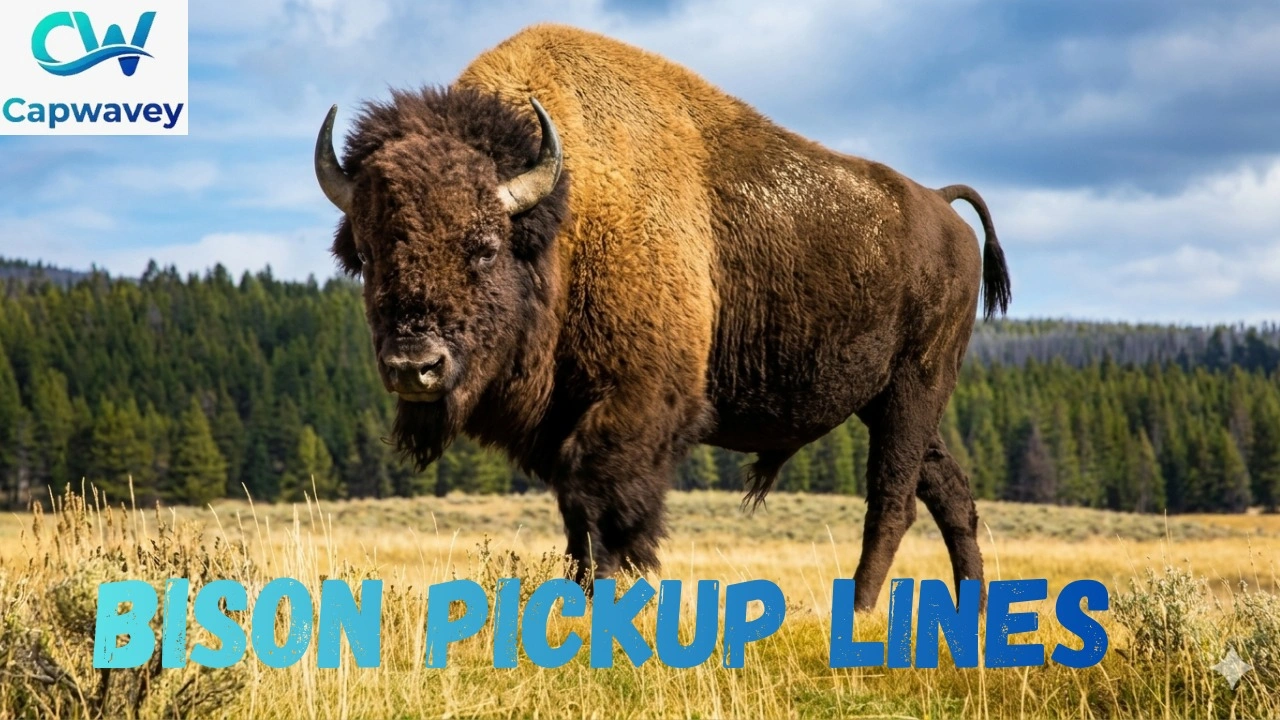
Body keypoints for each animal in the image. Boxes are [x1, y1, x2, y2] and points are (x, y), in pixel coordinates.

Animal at [315, 25, 1010, 610]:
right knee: (949, 491)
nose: (414, 366)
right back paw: (971, 610)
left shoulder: (636, 406)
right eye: (368, 254)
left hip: (917, 385)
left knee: (891, 500)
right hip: (887, 398)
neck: (567, 212)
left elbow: (605, 506)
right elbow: (578, 516)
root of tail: (940, 204)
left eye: (483, 247)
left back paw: (862, 610)